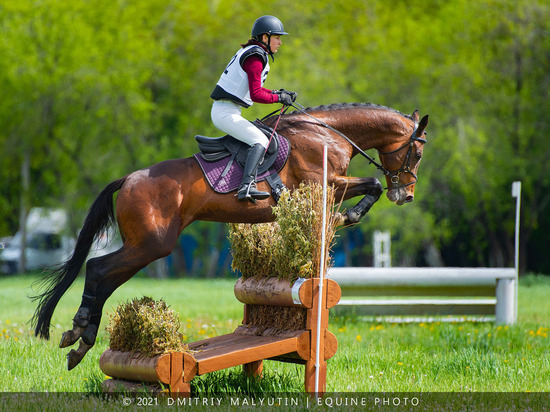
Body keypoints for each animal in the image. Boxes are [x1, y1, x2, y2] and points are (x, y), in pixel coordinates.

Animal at [31, 103, 432, 370]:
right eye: (417, 151)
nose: (407, 195)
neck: (327, 133)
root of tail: (128, 179)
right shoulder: (326, 184)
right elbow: (374, 183)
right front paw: (347, 216)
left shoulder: (331, 186)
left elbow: (372, 184)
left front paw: (348, 215)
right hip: (152, 244)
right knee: (99, 269)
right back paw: (80, 334)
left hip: (146, 246)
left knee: (105, 276)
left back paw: (79, 342)